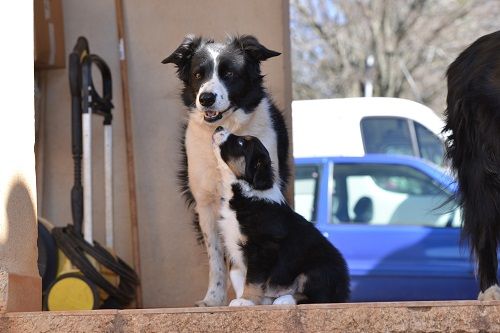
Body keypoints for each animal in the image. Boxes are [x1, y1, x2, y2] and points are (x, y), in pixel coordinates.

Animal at [163, 35, 290, 304]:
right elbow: (216, 257)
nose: (206, 98)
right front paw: (213, 299)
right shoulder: (206, 204)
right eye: (198, 75)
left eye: (229, 74)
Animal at [213, 127, 350, 306]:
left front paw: (246, 300)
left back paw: (284, 299)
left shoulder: (262, 248)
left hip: (317, 270)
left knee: (318, 297)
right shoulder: (232, 245)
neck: (244, 193)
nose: (219, 128)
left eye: (241, 143)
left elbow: (252, 278)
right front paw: (244, 299)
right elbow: (237, 276)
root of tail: (344, 291)